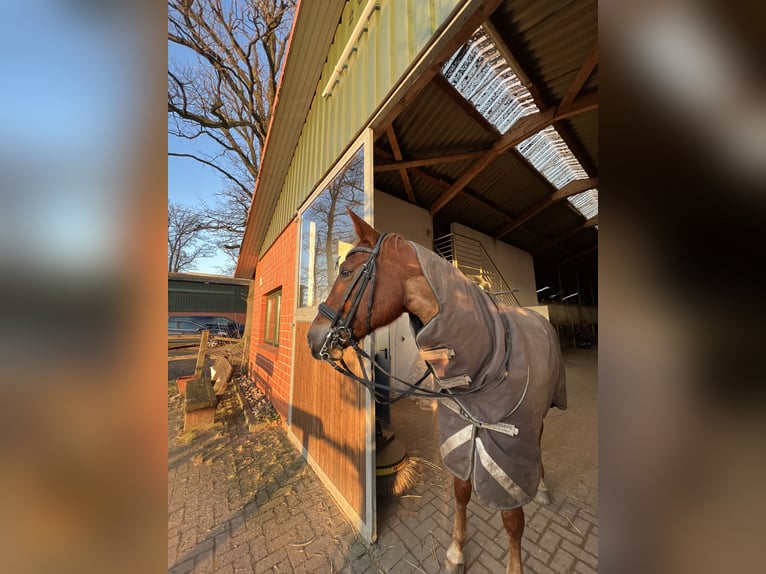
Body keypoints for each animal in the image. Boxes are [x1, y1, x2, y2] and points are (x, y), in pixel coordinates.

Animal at [308, 212, 568, 574]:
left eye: (346, 272)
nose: (312, 337)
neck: (487, 359)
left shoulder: (508, 450)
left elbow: (513, 520)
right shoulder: (460, 434)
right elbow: (461, 490)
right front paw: (456, 552)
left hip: (538, 419)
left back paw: (541, 486)